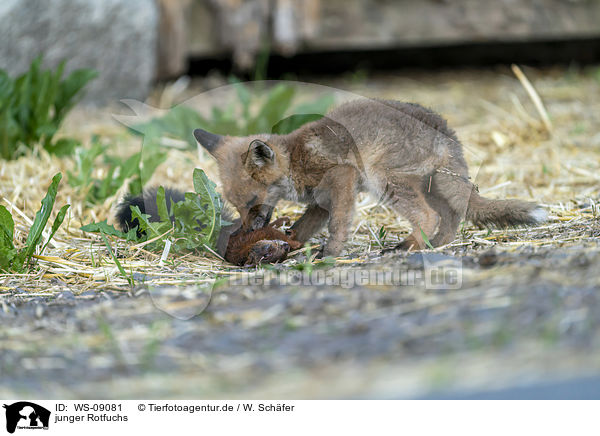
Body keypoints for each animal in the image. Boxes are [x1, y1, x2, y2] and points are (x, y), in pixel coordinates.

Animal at [195, 99, 548, 255]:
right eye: (235, 205)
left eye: (253, 202)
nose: (243, 232)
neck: (295, 159)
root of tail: (447, 133)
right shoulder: (321, 200)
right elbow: (304, 227)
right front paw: (292, 244)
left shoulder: (342, 178)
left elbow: (338, 224)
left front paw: (330, 254)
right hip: (433, 187)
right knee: (449, 220)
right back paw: (433, 245)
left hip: (387, 181)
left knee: (428, 216)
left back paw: (409, 245)